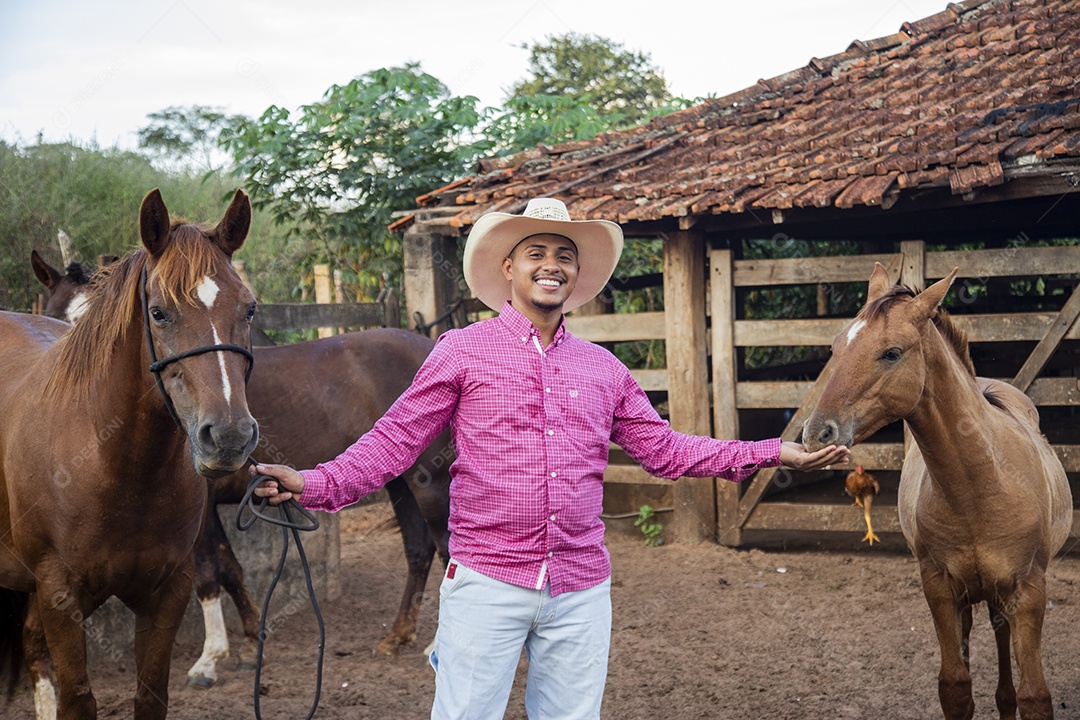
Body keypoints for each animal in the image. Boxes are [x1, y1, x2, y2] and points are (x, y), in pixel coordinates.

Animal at [0, 188, 259, 716]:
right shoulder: (59, 596)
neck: (117, 464)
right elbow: (77, 698)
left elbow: (150, 693)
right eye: (158, 312)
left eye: (249, 309)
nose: (228, 436)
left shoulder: (167, 593)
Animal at [29, 254, 451, 686]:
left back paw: (433, 648)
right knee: (419, 551)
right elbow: (230, 570)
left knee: (446, 551)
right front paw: (249, 646)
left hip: (430, 482)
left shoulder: (201, 515)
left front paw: (208, 661)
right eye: (55, 315)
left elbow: (209, 574)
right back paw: (396, 637)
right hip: (400, 482)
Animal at [803, 264, 1071, 720]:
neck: (978, 488)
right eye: (837, 346)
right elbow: (955, 687)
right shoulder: (940, 589)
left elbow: (1034, 695)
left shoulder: (1028, 591)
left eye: (891, 352)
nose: (816, 432)